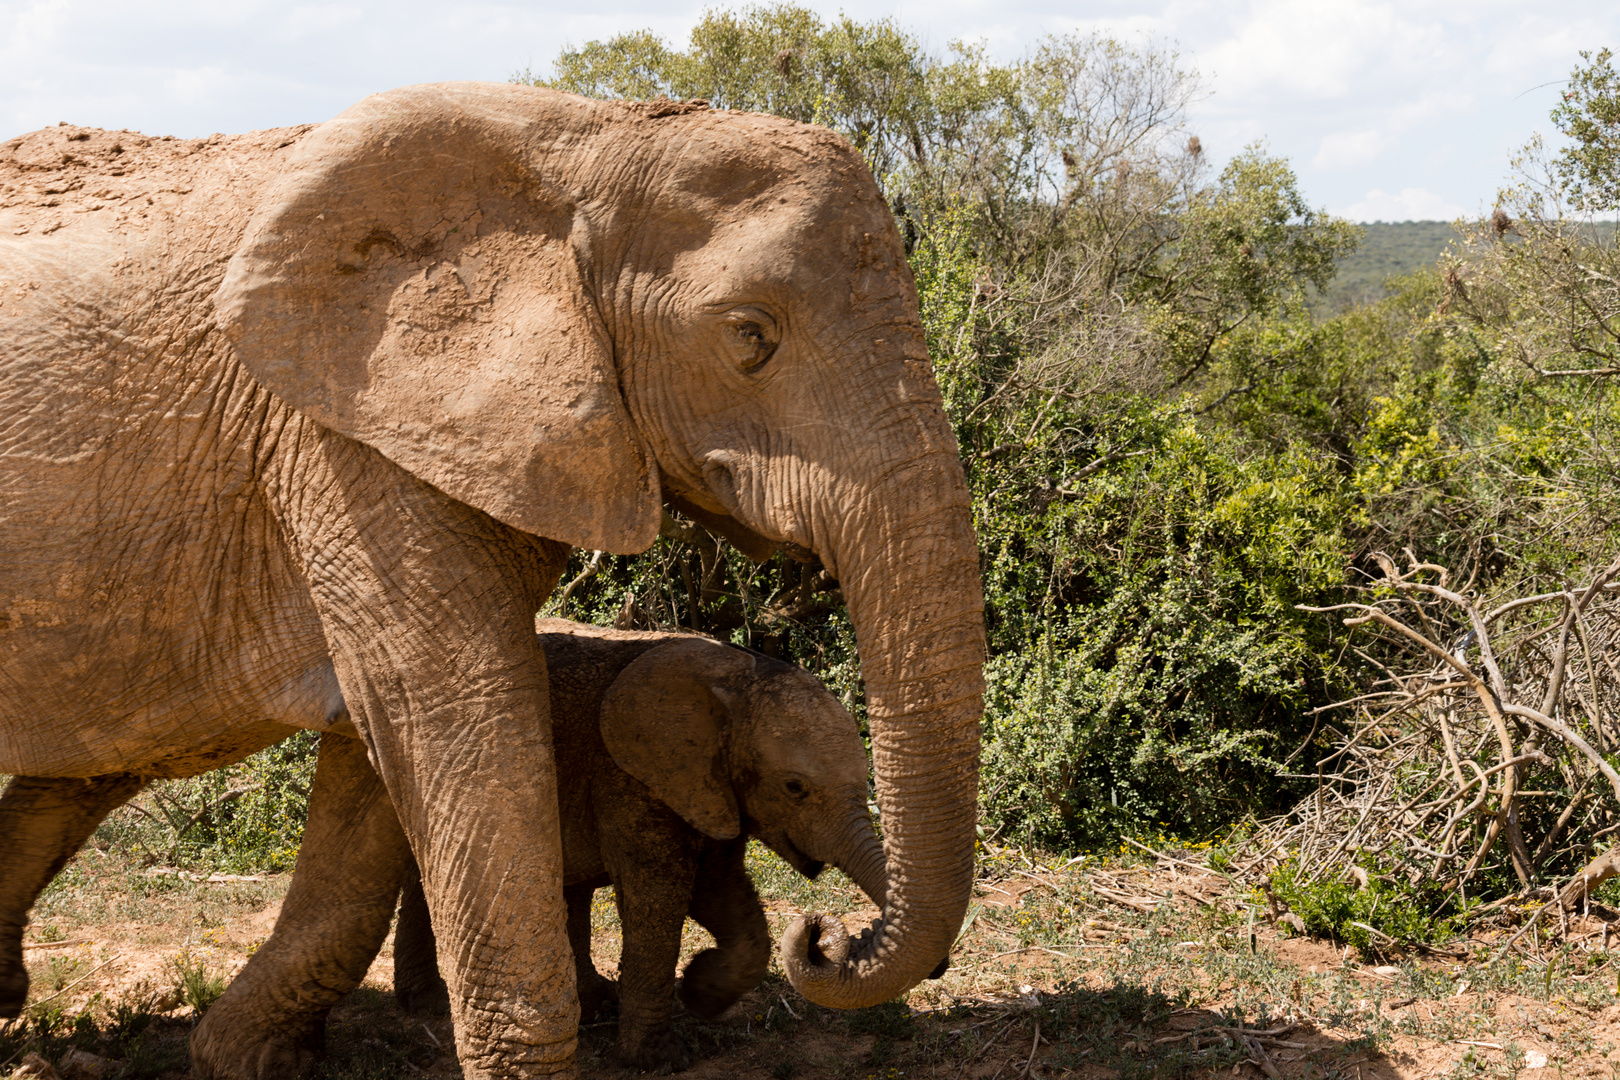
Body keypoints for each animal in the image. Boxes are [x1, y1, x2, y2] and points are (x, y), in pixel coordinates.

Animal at [388, 625, 887, 1075]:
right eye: (794, 788)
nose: (818, 936)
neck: (734, 676)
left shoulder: (709, 788)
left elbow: (719, 893)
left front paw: (698, 992)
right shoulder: (629, 774)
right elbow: (659, 898)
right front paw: (659, 1060)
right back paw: (429, 1004)